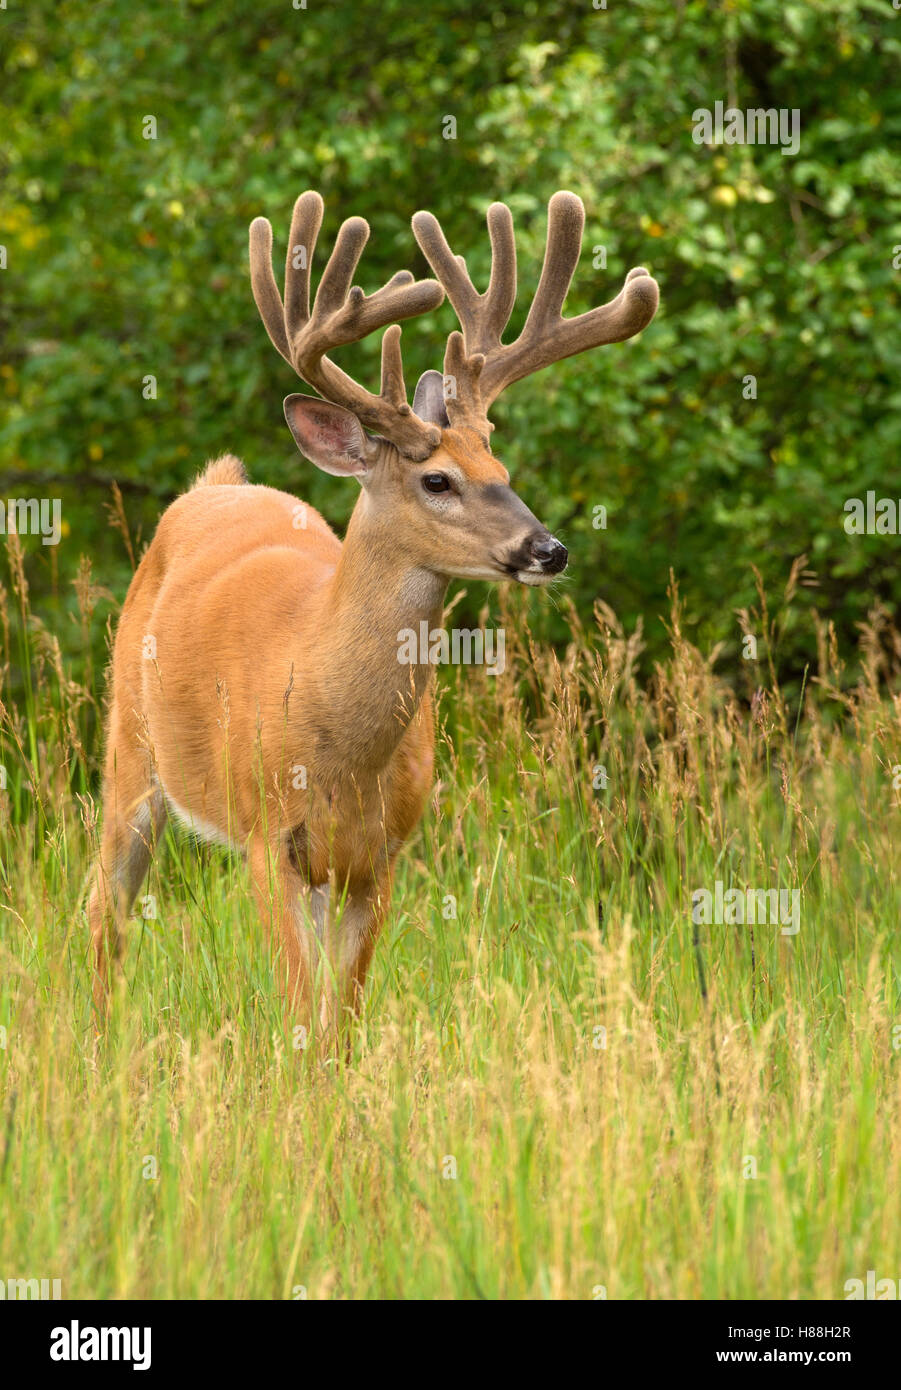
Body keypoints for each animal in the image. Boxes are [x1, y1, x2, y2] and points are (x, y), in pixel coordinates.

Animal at [86, 188, 658, 1047]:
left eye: (502, 469)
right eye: (437, 480)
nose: (548, 549)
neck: (333, 733)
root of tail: (213, 485)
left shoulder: (381, 854)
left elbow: (342, 1019)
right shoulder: (268, 838)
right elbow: (299, 1011)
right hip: (129, 745)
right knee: (103, 909)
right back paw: (98, 1039)